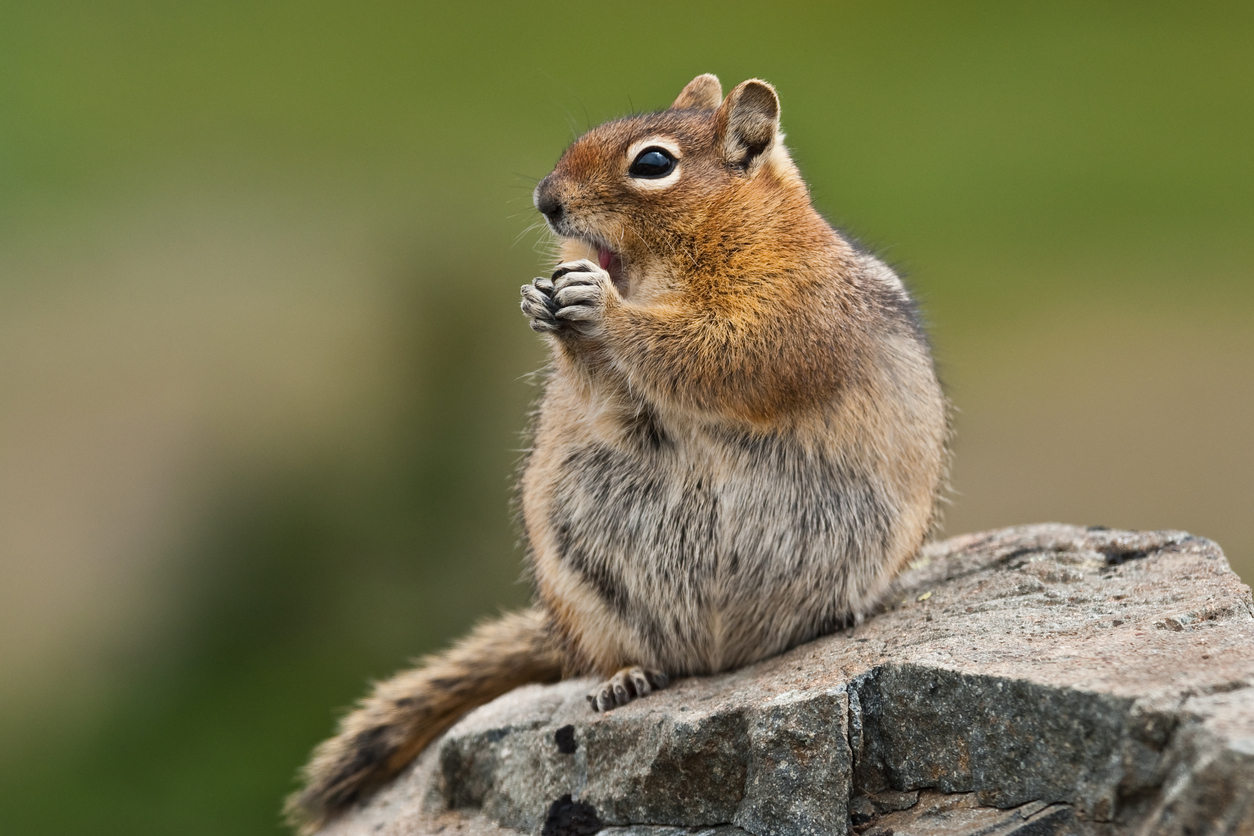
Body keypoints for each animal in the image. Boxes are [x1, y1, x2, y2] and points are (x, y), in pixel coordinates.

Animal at [287, 75, 948, 832]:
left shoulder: (784, 314)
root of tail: (722, 654)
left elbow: (717, 351)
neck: (667, 269)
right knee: (634, 654)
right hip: (585, 581)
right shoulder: (620, 412)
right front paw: (546, 307)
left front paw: (603, 310)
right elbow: (615, 409)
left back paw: (835, 614)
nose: (546, 200)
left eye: (653, 163)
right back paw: (625, 679)